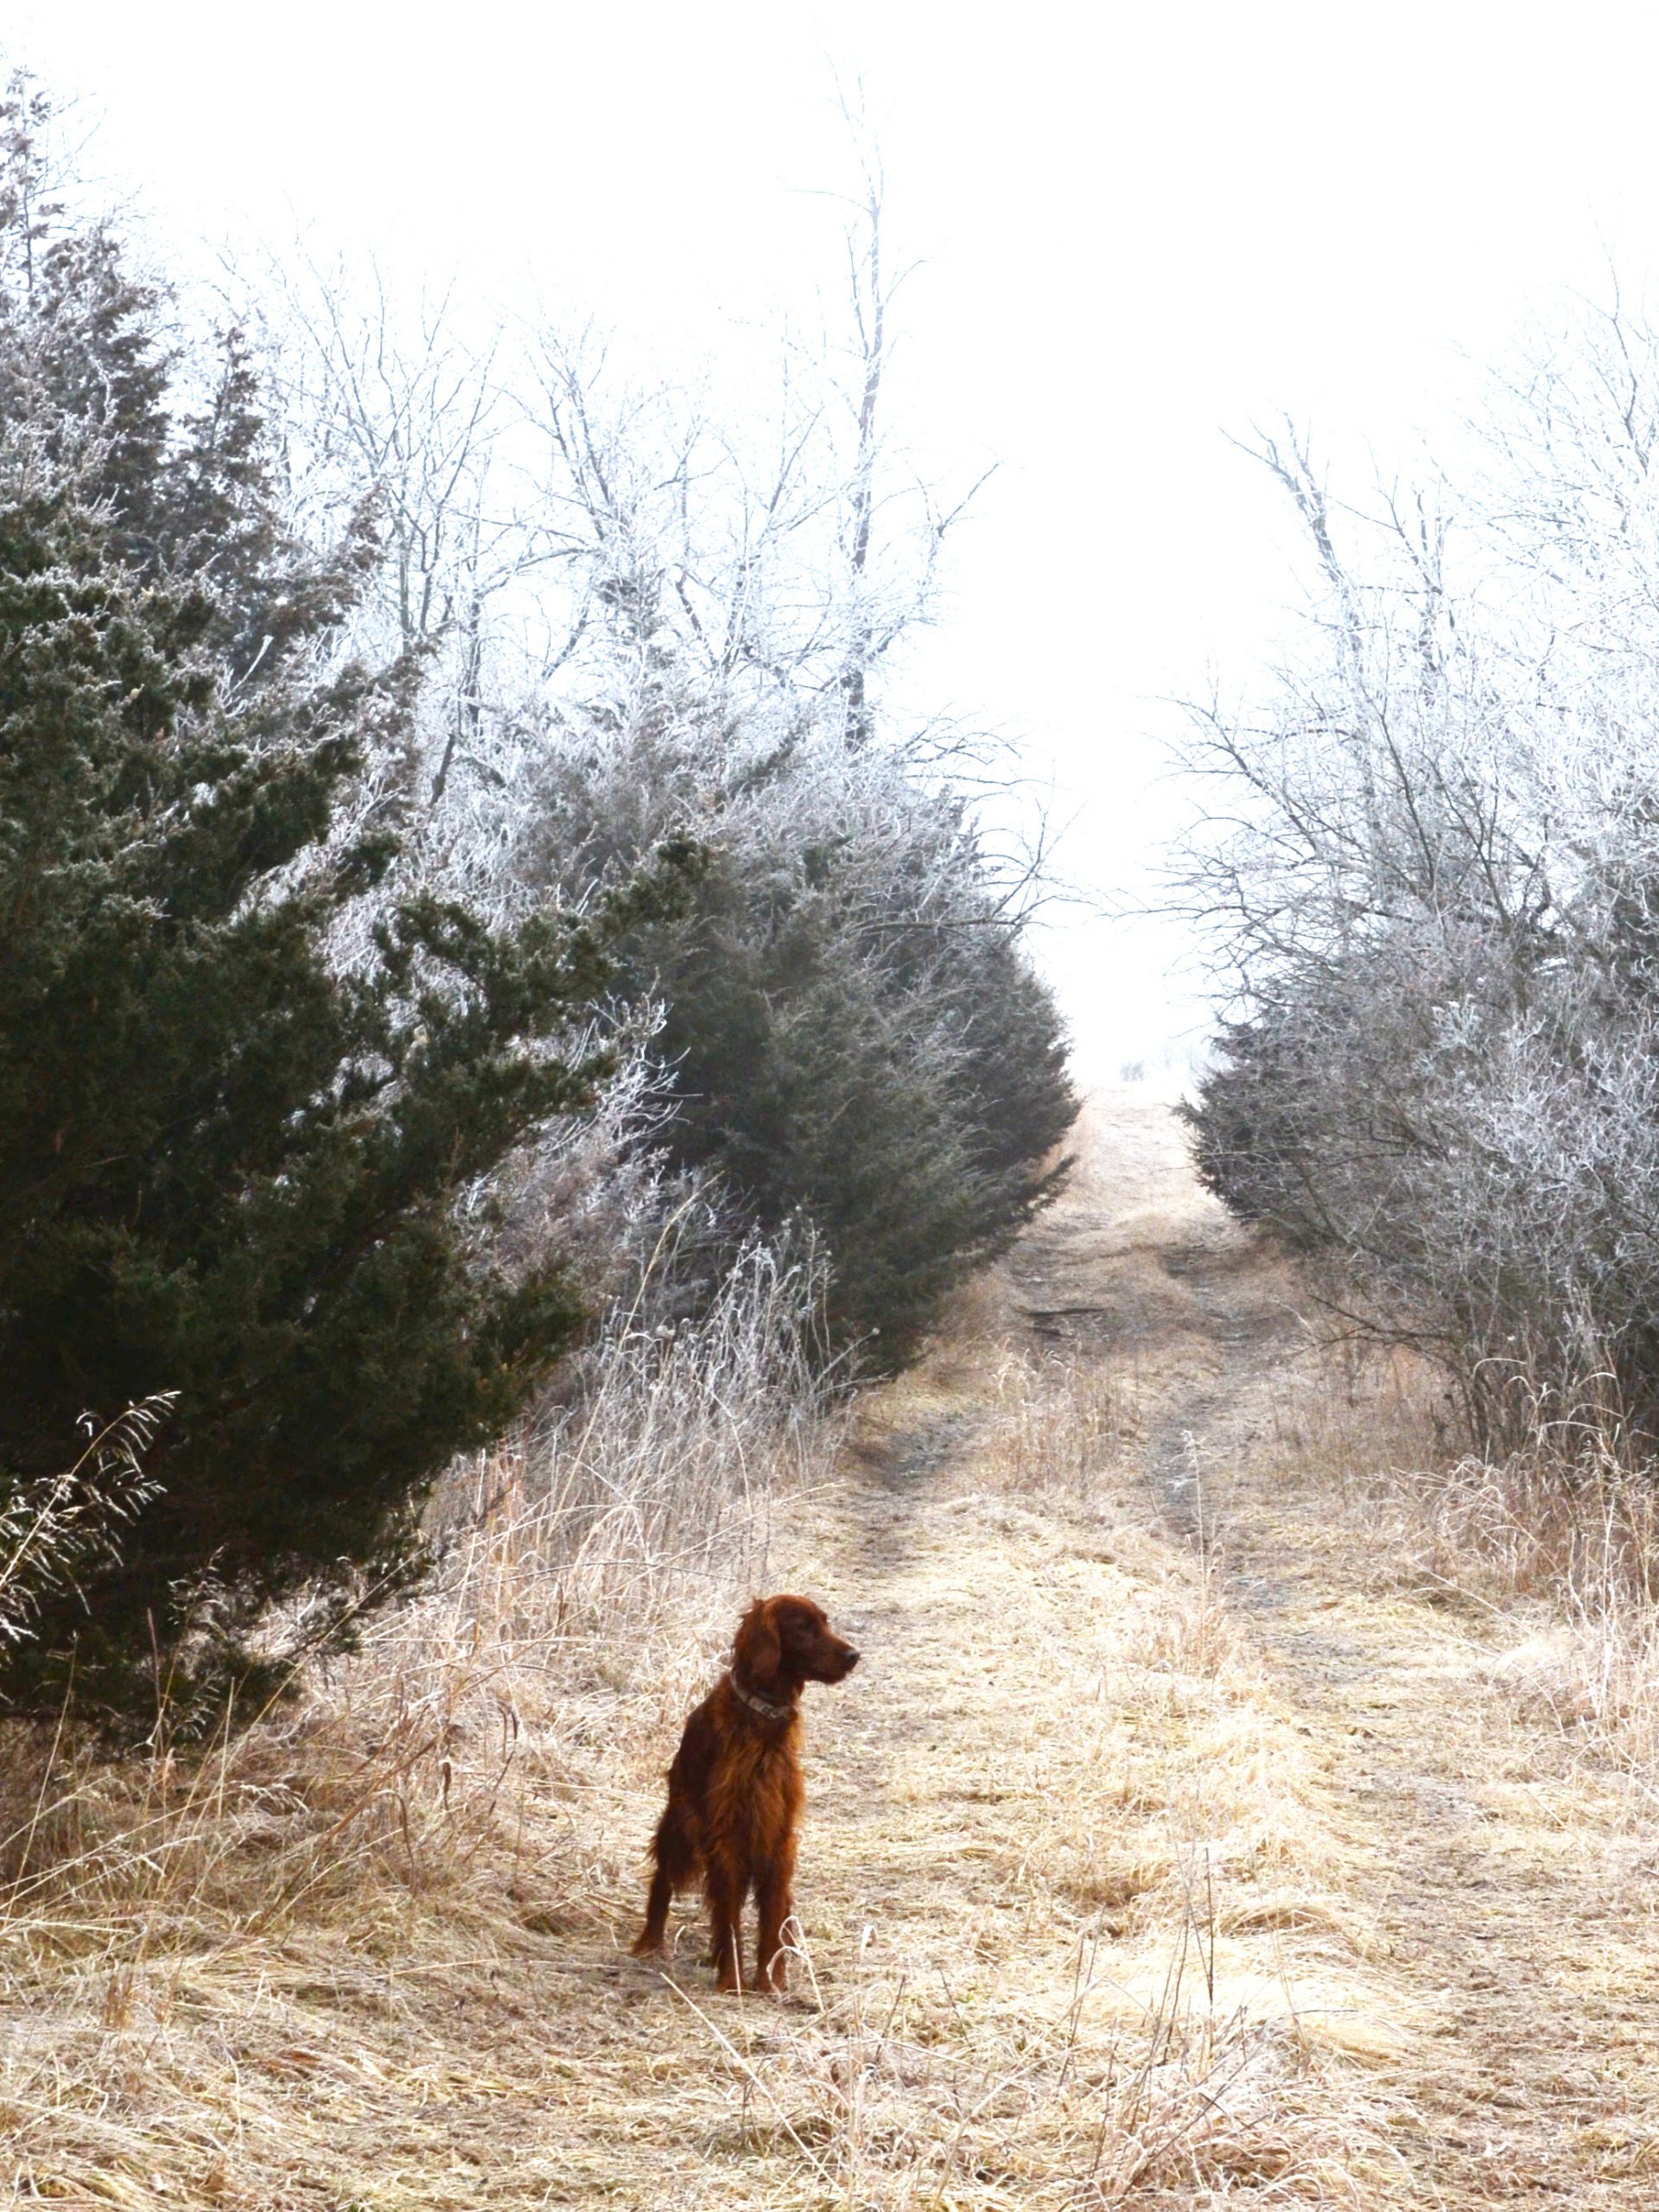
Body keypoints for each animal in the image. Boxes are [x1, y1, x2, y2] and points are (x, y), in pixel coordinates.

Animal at [637, 1592, 862, 1991]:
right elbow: (728, 1918)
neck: (763, 1717)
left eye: (825, 1621)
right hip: (680, 1824)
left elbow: (773, 1914)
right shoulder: (726, 1835)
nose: (854, 1655)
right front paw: (732, 1980)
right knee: (662, 1879)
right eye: (803, 1626)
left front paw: (771, 1981)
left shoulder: (778, 1834)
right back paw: (649, 1943)